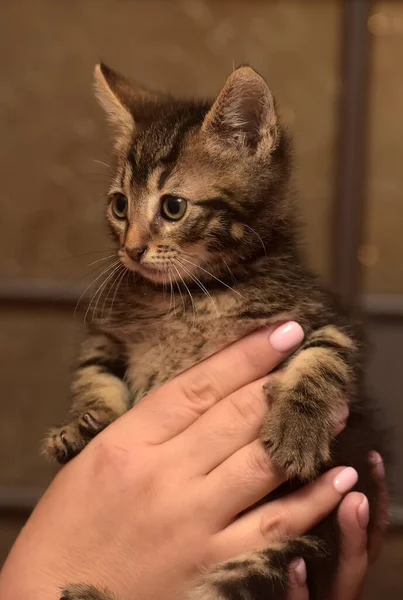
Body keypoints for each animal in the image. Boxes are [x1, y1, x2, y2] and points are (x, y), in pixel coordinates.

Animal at [44, 64, 386, 600]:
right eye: (119, 205)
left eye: (173, 207)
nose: (131, 250)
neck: (192, 297)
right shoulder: (110, 335)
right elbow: (94, 374)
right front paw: (83, 426)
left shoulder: (324, 317)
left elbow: (324, 357)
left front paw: (298, 429)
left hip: (282, 554)